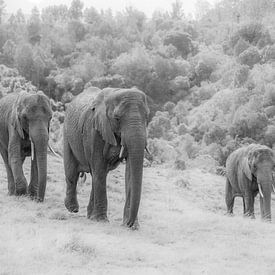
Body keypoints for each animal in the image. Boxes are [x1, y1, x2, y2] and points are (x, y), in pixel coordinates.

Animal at [63, 87, 150, 230]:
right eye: (117, 118)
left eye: (147, 117)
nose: (129, 224)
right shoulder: (94, 130)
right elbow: (99, 166)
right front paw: (101, 221)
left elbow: (130, 171)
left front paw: (132, 226)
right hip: (67, 134)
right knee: (72, 171)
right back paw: (73, 209)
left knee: (96, 175)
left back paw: (89, 215)